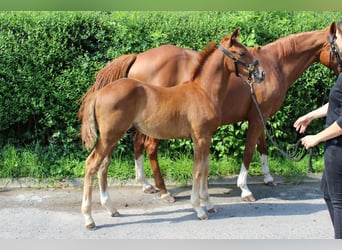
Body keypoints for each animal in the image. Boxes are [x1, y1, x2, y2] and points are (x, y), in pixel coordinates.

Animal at [79, 28, 264, 229]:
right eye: (241, 53)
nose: (261, 74)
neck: (203, 91)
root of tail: (99, 93)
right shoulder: (200, 137)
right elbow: (198, 170)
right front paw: (199, 209)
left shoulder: (206, 136)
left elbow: (205, 167)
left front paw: (208, 203)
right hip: (109, 136)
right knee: (91, 164)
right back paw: (89, 218)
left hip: (113, 136)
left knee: (103, 165)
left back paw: (111, 209)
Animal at [84, 22, 340, 203]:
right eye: (338, 46)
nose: (260, 75)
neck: (275, 63)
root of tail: (139, 57)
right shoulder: (256, 118)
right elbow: (250, 150)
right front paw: (244, 188)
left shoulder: (261, 115)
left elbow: (263, 146)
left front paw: (268, 178)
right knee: (150, 148)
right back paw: (164, 190)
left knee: (138, 143)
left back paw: (146, 183)